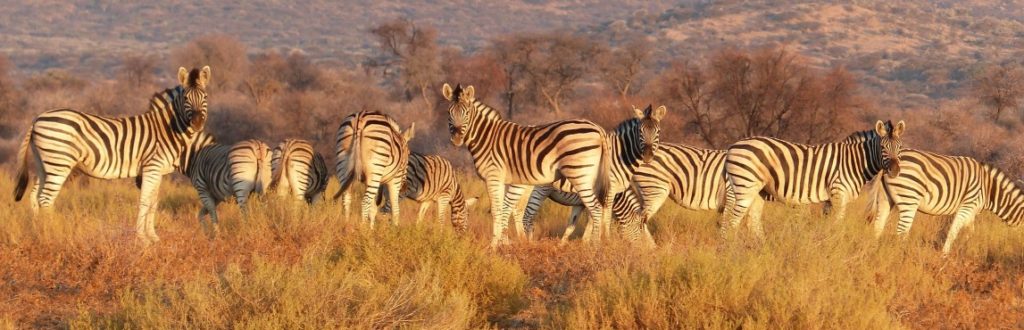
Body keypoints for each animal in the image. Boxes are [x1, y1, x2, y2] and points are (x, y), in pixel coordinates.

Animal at [12, 65, 211, 243]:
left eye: (205, 96)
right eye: (185, 97)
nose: (197, 123)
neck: (168, 129)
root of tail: (38, 118)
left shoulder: (158, 172)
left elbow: (153, 202)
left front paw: (154, 237)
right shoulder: (152, 167)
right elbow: (145, 201)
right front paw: (142, 238)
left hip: (44, 163)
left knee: (35, 196)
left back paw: (38, 233)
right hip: (59, 162)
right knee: (46, 199)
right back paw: (54, 235)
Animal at [438, 83, 606, 248]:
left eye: (467, 113)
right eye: (449, 112)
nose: (457, 139)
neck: (487, 138)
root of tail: (598, 129)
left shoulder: (493, 177)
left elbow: (496, 210)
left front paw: (493, 246)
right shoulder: (499, 179)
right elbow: (501, 209)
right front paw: (501, 243)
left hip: (579, 174)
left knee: (596, 209)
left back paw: (595, 247)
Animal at [516, 105, 667, 241]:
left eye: (658, 132)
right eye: (640, 131)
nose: (647, 156)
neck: (619, 156)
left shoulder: (583, 202)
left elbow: (576, 224)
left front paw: (581, 243)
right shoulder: (609, 191)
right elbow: (603, 218)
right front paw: (604, 241)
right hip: (537, 188)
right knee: (522, 213)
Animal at [720, 119, 905, 238]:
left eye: (899, 147)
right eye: (883, 147)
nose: (895, 170)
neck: (853, 161)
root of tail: (732, 146)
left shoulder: (830, 199)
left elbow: (827, 223)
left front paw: (823, 243)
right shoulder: (838, 194)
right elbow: (838, 224)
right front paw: (835, 245)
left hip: (759, 191)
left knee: (752, 221)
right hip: (745, 187)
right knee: (731, 222)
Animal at [868, 149, 1024, 255]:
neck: (988, 188)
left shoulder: (972, 211)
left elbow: (969, 232)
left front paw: (967, 249)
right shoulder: (967, 206)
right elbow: (953, 231)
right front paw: (944, 255)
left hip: (885, 198)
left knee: (878, 225)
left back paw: (875, 250)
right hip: (910, 199)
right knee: (902, 230)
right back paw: (901, 255)